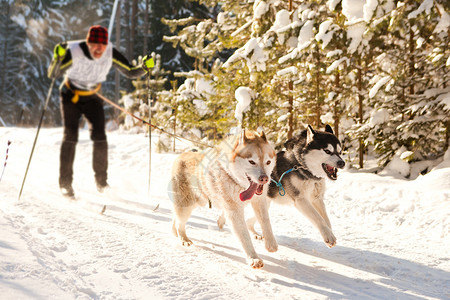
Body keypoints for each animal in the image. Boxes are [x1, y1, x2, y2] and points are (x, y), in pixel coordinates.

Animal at [171, 130, 278, 268]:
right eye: (252, 161)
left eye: (268, 162)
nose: (264, 178)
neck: (235, 180)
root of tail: (181, 155)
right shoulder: (234, 211)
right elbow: (244, 236)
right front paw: (253, 258)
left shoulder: (259, 202)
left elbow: (266, 222)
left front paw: (270, 243)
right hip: (186, 206)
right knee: (180, 223)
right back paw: (184, 239)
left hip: (197, 202)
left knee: (176, 219)